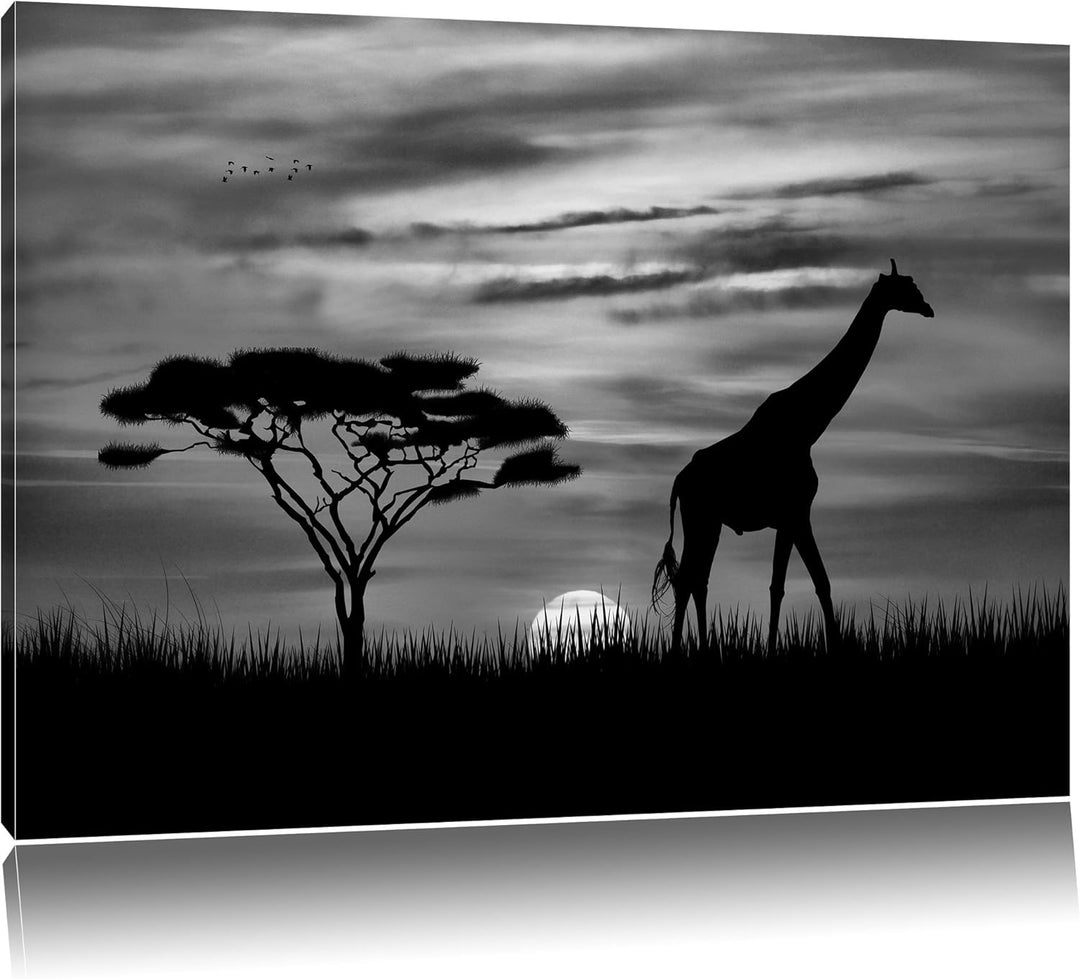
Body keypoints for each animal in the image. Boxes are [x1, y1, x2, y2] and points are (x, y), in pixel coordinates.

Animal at [652, 259, 934, 653]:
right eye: (905, 288)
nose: (928, 308)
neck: (808, 426)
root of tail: (679, 480)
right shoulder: (795, 513)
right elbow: (788, 586)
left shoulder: (794, 517)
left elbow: (811, 583)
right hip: (700, 519)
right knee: (687, 580)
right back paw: (682, 649)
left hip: (710, 522)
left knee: (698, 580)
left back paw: (704, 647)